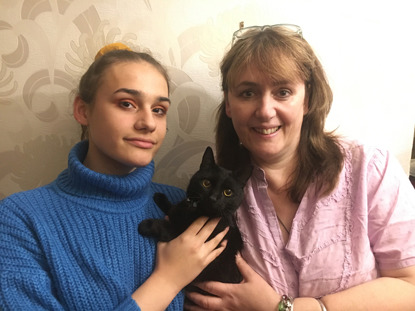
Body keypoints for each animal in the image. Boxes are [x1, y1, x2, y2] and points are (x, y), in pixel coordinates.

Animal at [138, 147, 252, 286]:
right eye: (206, 183)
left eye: (228, 192)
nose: (213, 198)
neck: (197, 212)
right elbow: (172, 209)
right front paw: (160, 198)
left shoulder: (184, 238)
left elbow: (167, 226)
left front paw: (145, 225)